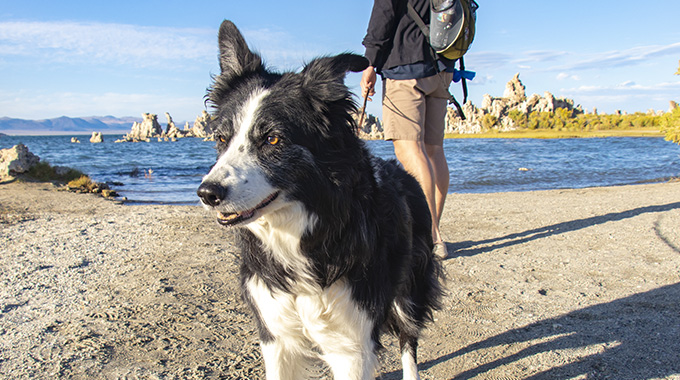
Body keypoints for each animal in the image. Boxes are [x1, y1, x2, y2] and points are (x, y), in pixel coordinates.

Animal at [197, 20, 444, 380]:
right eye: (221, 138)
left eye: (273, 139)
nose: (207, 193)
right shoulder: (276, 335)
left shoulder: (352, 343)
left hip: (410, 286)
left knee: (408, 338)